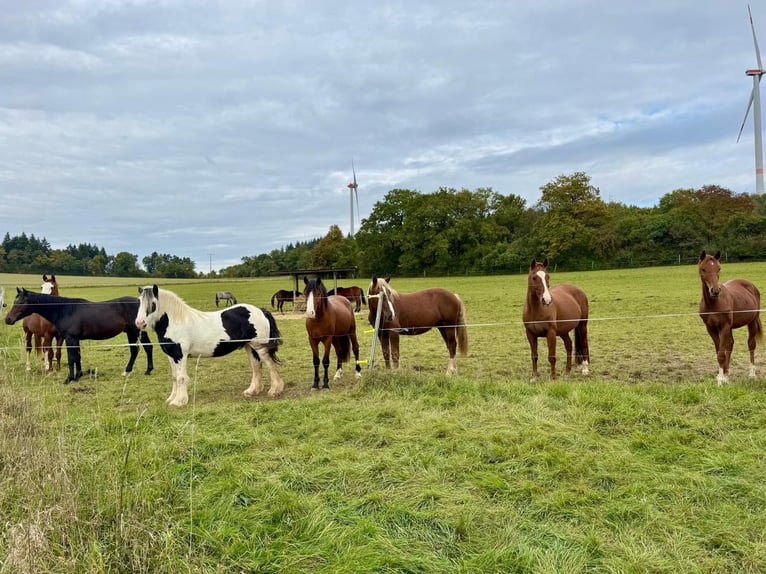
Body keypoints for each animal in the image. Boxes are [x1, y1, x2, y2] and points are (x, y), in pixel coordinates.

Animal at [5, 289, 154, 384]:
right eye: (15, 301)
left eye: (22, 302)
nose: (8, 319)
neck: (64, 310)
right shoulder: (74, 339)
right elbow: (77, 357)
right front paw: (78, 376)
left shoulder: (70, 338)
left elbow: (71, 358)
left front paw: (69, 379)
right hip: (131, 332)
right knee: (135, 350)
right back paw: (127, 372)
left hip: (137, 331)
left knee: (147, 347)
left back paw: (147, 370)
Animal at [135, 285, 284, 407]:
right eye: (139, 303)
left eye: (153, 304)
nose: (140, 323)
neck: (176, 321)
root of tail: (261, 311)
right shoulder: (171, 356)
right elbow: (174, 377)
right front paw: (172, 398)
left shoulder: (180, 355)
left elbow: (181, 378)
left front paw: (179, 401)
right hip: (250, 347)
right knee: (256, 366)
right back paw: (252, 391)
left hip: (261, 347)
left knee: (271, 365)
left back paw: (275, 390)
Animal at [698, 250, 762, 385]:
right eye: (703, 269)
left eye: (719, 268)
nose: (715, 291)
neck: (713, 304)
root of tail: (751, 286)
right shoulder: (711, 329)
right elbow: (719, 351)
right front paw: (722, 376)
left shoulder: (724, 327)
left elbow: (721, 353)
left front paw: (720, 380)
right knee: (731, 344)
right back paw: (727, 373)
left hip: (752, 322)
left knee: (751, 344)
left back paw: (752, 374)